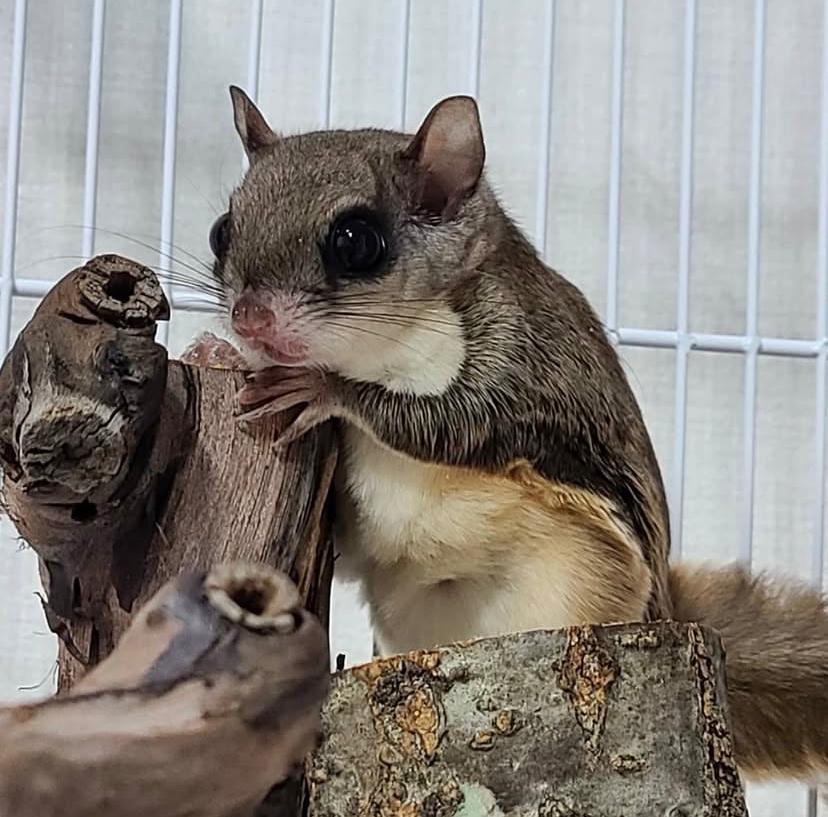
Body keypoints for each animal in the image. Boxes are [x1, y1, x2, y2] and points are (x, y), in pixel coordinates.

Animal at [186, 86, 828, 784]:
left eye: (355, 241)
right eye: (221, 230)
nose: (249, 318)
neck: (390, 341)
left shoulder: (517, 369)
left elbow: (445, 424)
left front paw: (321, 388)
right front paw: (218, 352)